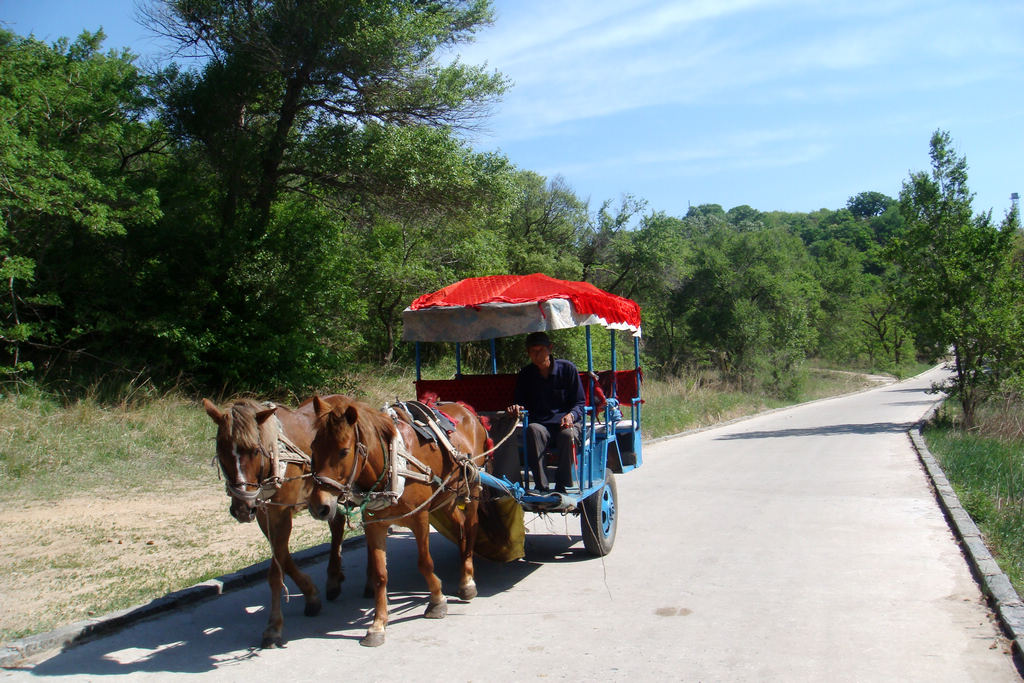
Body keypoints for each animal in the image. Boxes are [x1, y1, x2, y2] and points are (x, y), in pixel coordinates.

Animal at [201, 395, 350, 647]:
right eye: (221, 450)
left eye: (254, 451)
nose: (242, 509)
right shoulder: (264, 513)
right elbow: (283, 558)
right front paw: (311, 594)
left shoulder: (280, 512)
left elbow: (275, 571)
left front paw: (274, 627)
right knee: (337, 523)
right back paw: (333, 578)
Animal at [307, 395, 491, 647]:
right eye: (313, 447)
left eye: (344, 451)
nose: (319, 507)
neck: (392, 466)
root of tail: (468, 411)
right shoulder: (374, 525)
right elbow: (380, 575)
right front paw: (377, 625)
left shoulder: (420, 518)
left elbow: (425, 563)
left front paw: (436, 600)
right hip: (446, 496)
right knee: (461, 528)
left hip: (471, 487)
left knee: (471, 529)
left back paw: (468, 581)